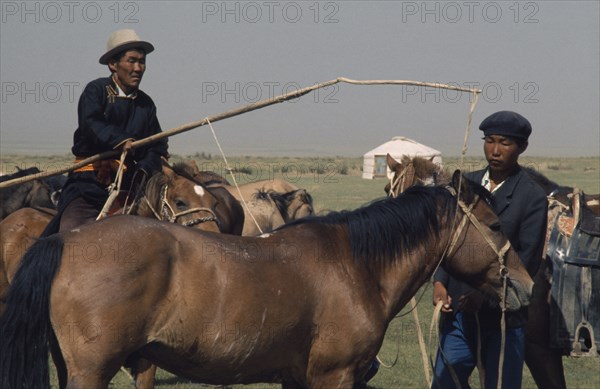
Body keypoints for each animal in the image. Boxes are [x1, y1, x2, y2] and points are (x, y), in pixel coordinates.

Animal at [0, 173, 536, 388]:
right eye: (493, 226)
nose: (527, 285)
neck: (355, 265)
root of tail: (63, 241)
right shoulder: (334, 376)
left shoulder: (297, 378)